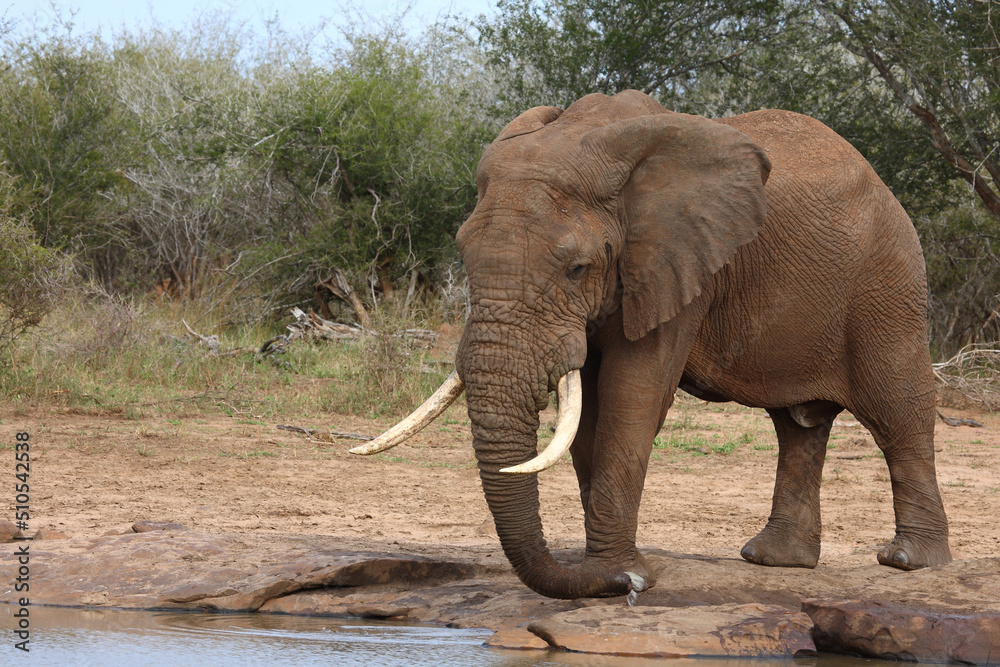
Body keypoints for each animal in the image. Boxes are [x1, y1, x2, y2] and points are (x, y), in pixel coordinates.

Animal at [352, 90, 952, 600]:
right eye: (463, 256)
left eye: (576, 269)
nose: (628, 585)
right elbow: (589, 412)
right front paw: (612, 571)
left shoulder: (679, 262)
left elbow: (632, 396)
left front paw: (618, 572)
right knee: (798, 426)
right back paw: (773, 559)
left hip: (887, 280)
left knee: (898, 409)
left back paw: (907, 561)